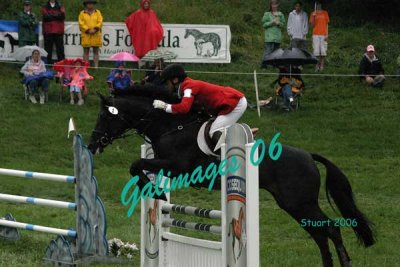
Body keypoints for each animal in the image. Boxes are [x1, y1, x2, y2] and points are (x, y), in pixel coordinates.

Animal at [88, 87, 376, 266]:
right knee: (319, 232)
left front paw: (156, 192)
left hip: (299, 202)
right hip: (294, 204)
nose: (92, 145)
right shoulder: (167, 166)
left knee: (330, 228)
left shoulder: (176, 165)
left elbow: (136, 165)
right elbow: (138, 167)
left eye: (104, 116)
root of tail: (308, 156)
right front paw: (154, 192)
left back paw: (345, 262)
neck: (169, 126)